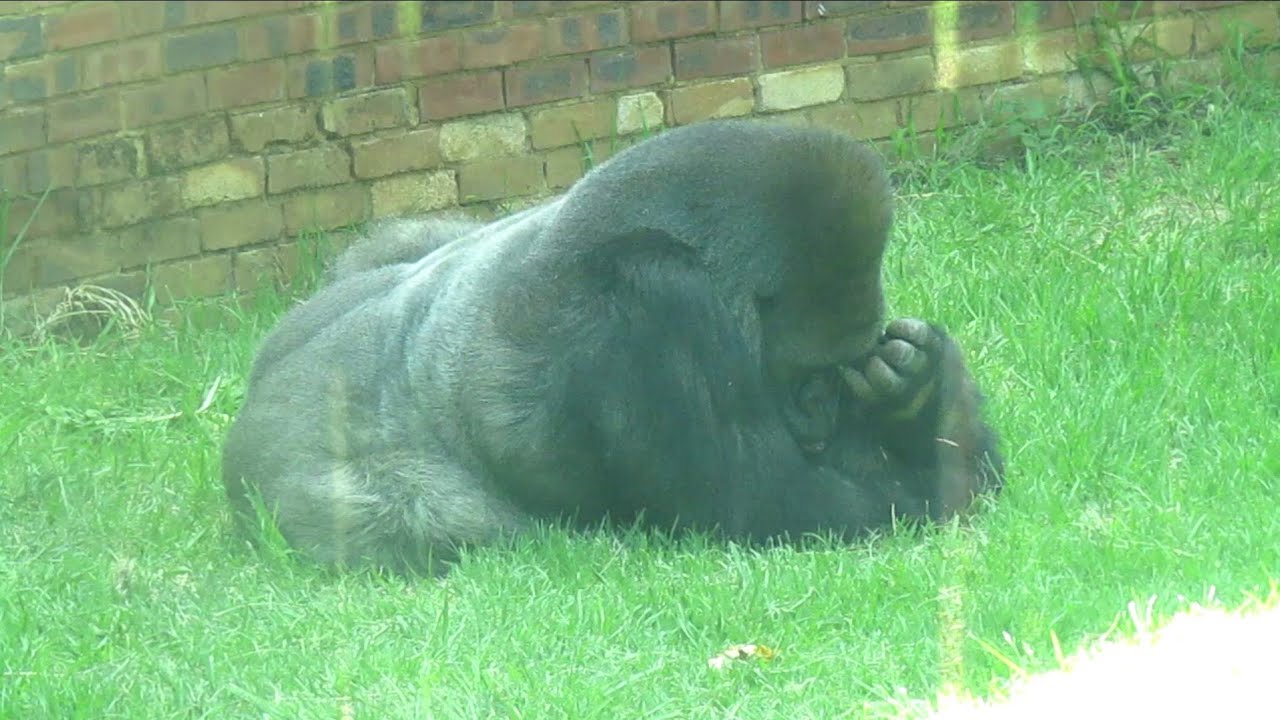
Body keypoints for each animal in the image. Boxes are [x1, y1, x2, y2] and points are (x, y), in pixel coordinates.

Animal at [221, 119, 1003, 574]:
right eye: (804, 375)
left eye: (839, 372)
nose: (820, 415)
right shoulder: (657, 305)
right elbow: (771, 507)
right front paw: (926, 466)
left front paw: (919, 392)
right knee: (424, 518)